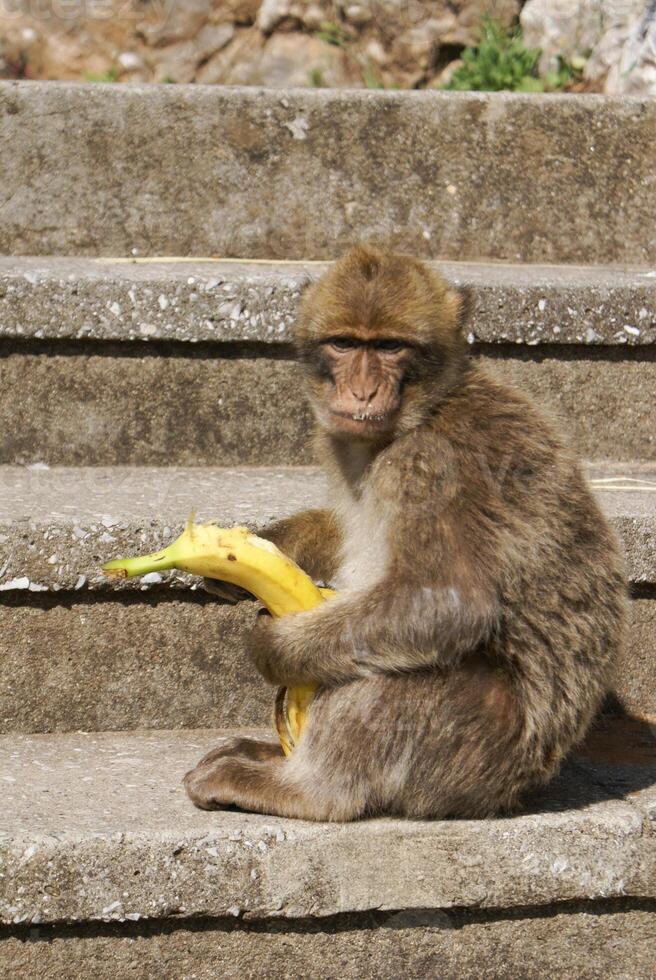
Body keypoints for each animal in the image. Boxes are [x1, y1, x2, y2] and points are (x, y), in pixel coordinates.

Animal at [183, 243, 624, 820]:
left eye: (391, 347)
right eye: (345, 343)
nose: (362, 389)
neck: (421, 414)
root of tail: (521, 788)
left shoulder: (427, 467)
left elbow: (446, 604)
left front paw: (273, 645)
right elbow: (347, 528)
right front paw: (264, 549)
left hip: (471, 758)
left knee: (392, 671)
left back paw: (307, 789)